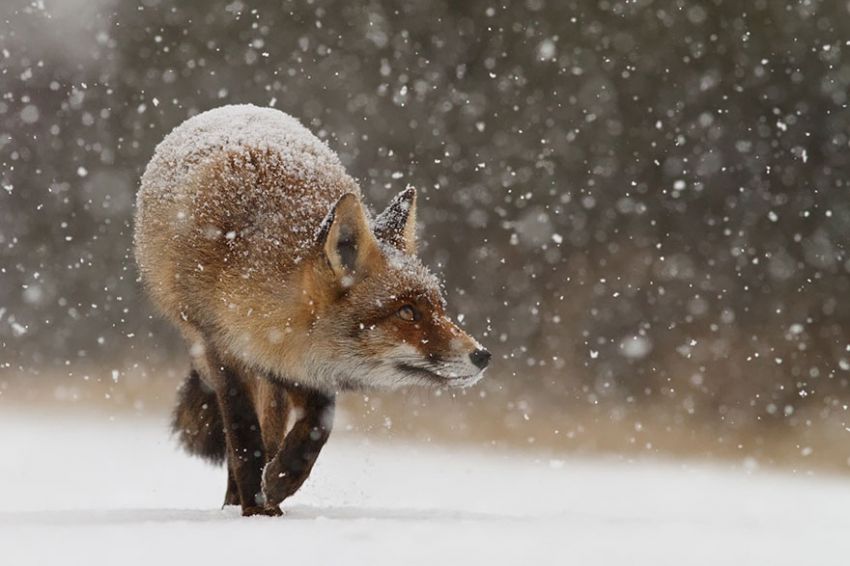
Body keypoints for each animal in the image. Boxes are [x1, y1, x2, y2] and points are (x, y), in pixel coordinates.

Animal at [133, 105, 490, 520]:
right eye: (406, 312)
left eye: (438, 307)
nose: (482, 355)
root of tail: (234, 108)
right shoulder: (220, 350)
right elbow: (243, 437)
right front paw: (253, 506)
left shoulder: (302, 367)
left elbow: (319, 424)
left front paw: (281, 480)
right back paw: (237, 500)